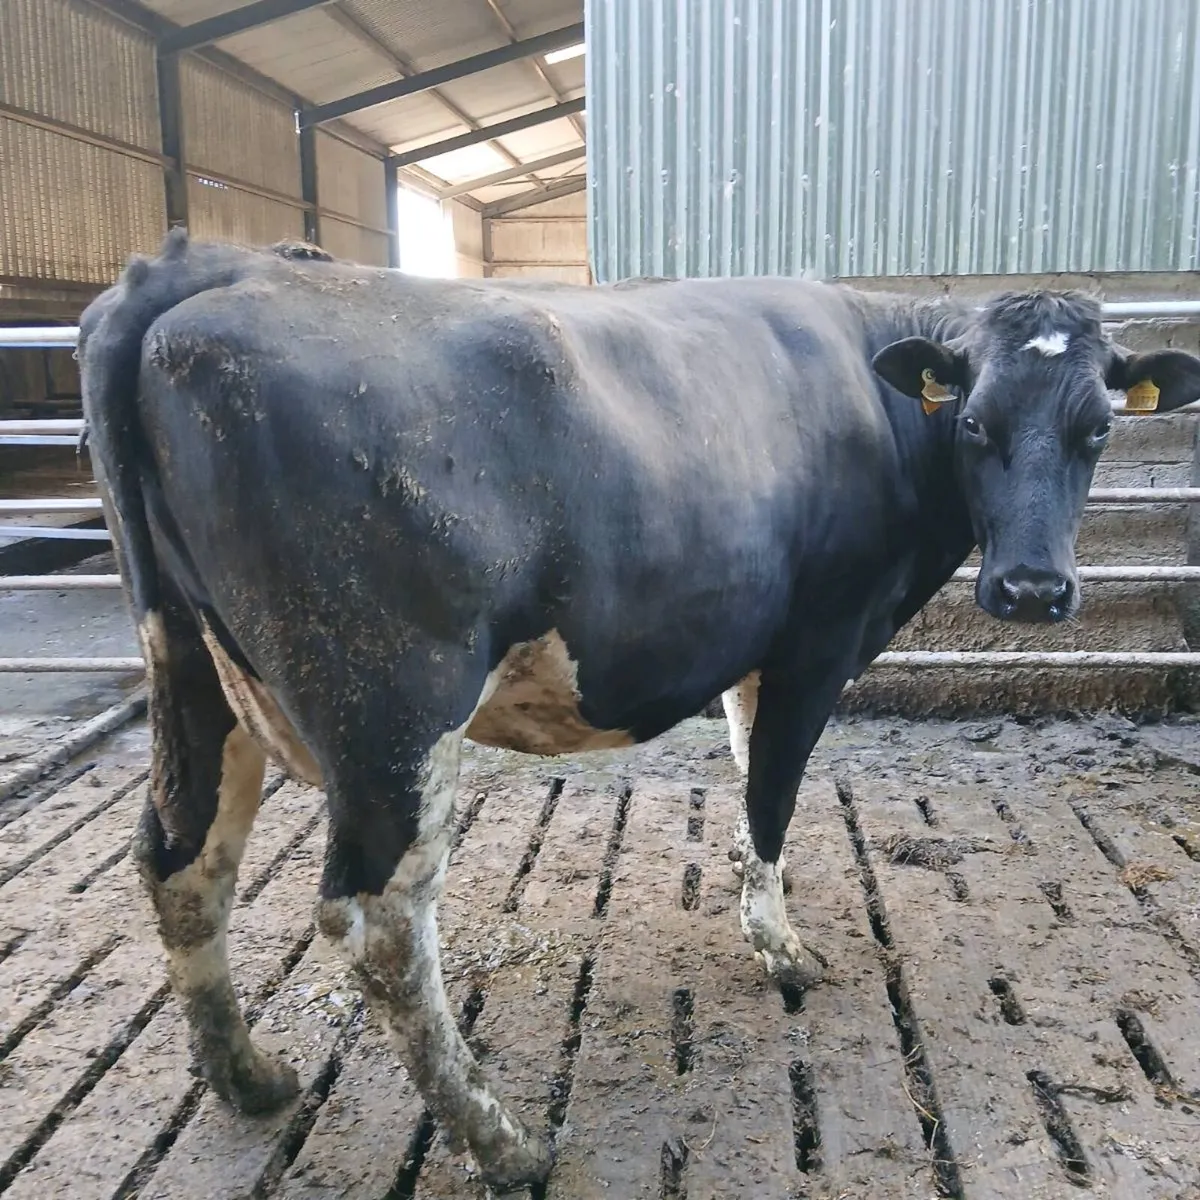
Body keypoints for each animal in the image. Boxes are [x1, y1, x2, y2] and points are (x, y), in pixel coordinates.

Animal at [77, 229, 1200, 1189]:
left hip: (190, 669)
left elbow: (747, 771)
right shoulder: (818, 641)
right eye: (972, 423)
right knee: (378, 922)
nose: (1032, 592)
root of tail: (208, 264)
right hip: (390, 705)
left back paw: (248, 1077)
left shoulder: (756, 650)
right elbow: (773, 793)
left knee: (181, 859)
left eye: (1099, 428)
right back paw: (502, 1140)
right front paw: (781, 947)